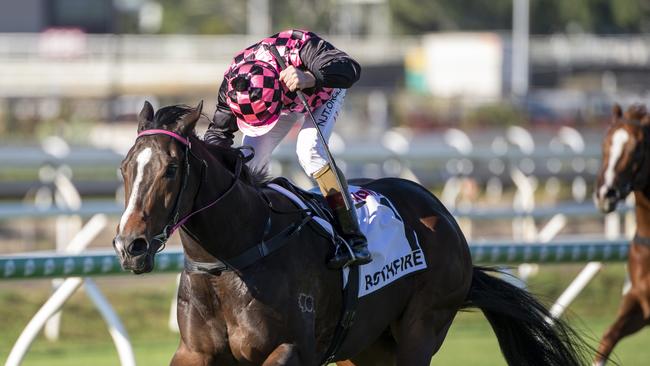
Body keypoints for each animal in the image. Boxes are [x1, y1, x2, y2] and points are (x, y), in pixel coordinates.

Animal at [114, 101, 588, 366]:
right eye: (124, 167)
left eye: (171, 168)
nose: (128, 245)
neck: (236, 255)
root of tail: (443, 215)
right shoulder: (194, 352)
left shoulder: (291, 349)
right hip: (364, 347)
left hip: (422, 329)